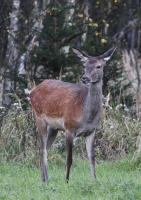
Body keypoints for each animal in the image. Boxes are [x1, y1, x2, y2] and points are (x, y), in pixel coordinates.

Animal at [29, 45, 115, 183]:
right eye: (84, 65)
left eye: (98, 66)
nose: (85, 78)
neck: (86, 116)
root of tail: (32, 91)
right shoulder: (69, 127)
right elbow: (69, 159)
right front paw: (67, 181)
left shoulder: (91, 131)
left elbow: (92, 157)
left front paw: (95, 180)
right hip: (39, 117)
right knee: (42, 148)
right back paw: (46, 180)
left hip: (54, 127)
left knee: (43, 148)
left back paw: (44, 179)